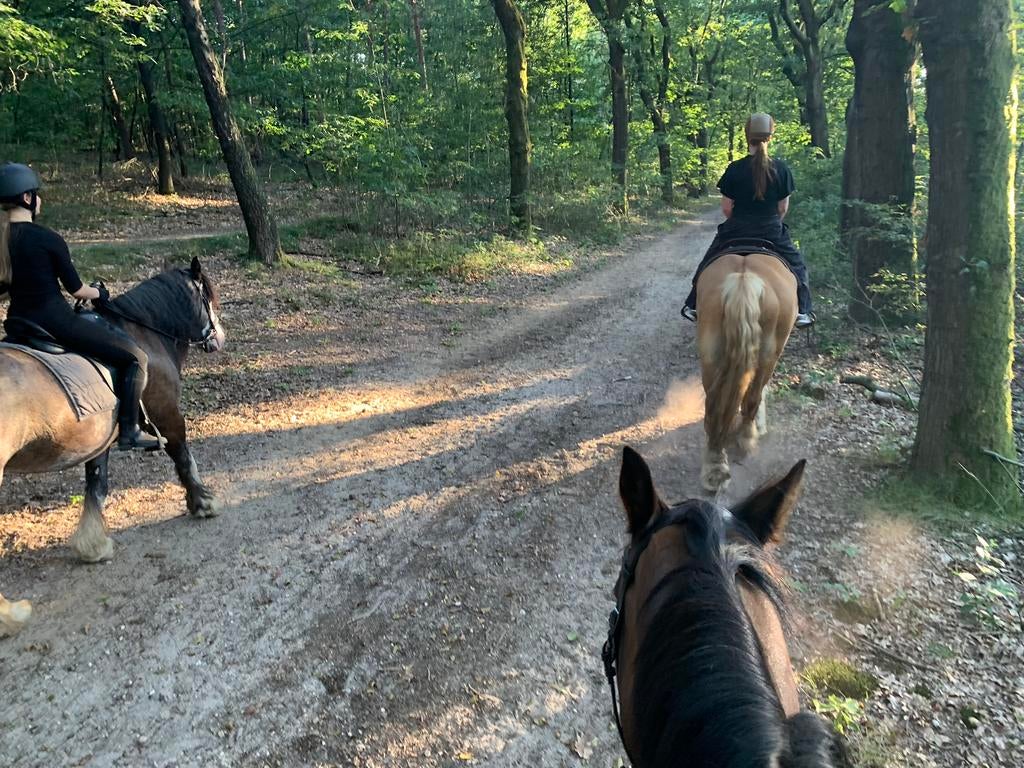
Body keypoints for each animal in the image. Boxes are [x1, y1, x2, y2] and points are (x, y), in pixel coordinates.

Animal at [0, 257, 225, 563]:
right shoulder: (166, 416)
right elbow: (183, 457)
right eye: (209, 298)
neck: (143, 333)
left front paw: (92, 544)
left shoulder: (100, 438)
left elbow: (97, 484)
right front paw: (202, 502)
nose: (219, 338)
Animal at [696, 250, 797, 493]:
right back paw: (748, 437)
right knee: (753, 395)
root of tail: (743, 280)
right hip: (769, 353)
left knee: (713, 406)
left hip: (711, 355)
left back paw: (715, 466)